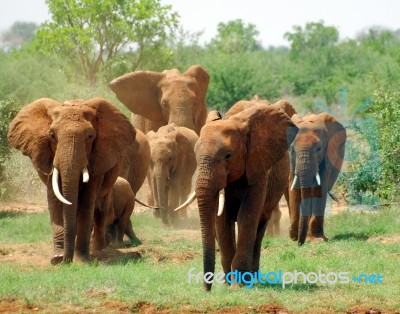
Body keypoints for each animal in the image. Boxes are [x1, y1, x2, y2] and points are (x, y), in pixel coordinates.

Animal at [7, 97, 148, 262]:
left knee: (100, 209)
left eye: (90, 136)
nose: (65, 260)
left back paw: (99, 249)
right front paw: (57, 258)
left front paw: (81, 260)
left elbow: (87, 201)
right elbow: (55, 200)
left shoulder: (96, 157)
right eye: (52, 135)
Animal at [175, 97, 296, 290]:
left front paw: (238, 285)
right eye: (195, 155)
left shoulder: (258, 168)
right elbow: (221, 219)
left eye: (228, 156)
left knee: (259, 228)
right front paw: (228, 284)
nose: (206, 290)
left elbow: (247, 216)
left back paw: (253, 278)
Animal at [288, 112, 346, 245]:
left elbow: (320, 188)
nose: (299, 243)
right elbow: (293, 187)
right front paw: (293, 237)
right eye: (291, 149)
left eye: (319, 149)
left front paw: (317, 240)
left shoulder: (328, 156)